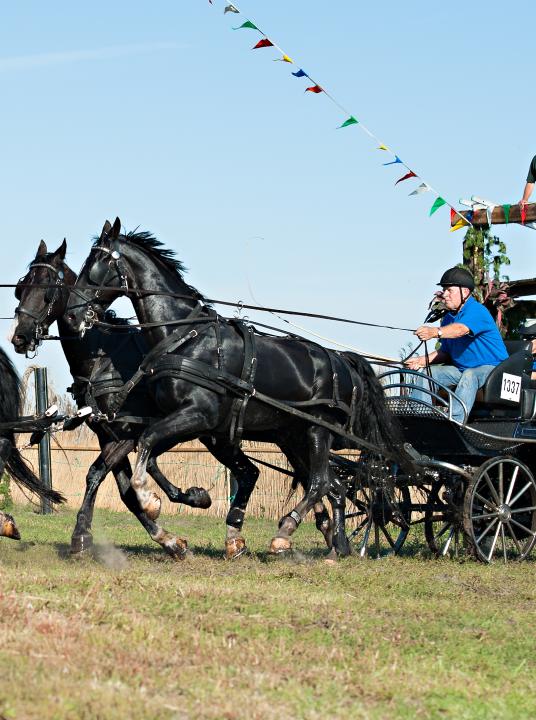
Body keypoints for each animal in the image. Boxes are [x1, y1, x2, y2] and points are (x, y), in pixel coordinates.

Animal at [11, 239, 211, 560]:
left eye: (47, 290)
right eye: (21, 288)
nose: (20, 336)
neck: (104, 359)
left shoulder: (129, 432)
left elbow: (97, 475)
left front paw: (81, 535)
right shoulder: (108, 435)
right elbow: (127, 491)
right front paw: (169, 539)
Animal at [69, 217, 408, 556]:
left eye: (95, 263)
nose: (73, 315)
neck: (185, 338)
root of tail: (341, 360)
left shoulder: (197, 416)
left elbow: (147, 442)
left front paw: (151, 501)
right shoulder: (187, 423)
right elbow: (147, 451)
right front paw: (192, 498)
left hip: (317, 431)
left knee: (321, 483)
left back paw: (286, 531)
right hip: (294, 435)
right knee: (334, 485)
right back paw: (336, 547)